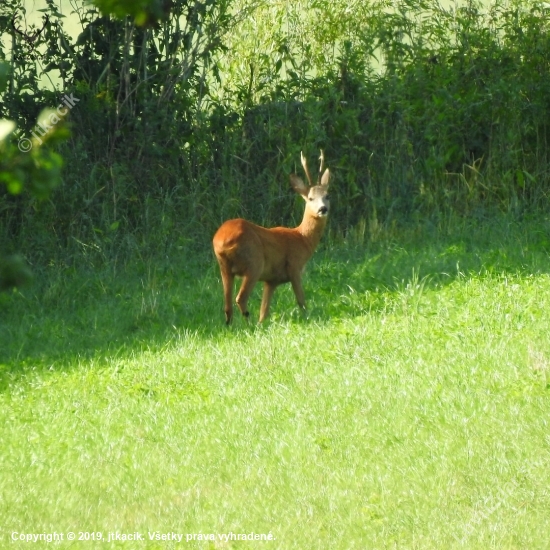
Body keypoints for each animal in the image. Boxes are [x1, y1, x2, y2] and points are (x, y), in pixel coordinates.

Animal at [212, 149, 332, 326]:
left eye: (327, 196)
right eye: (310, 198)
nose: (322, 209)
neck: (302, 238)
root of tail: (221, 241)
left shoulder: (271, 280)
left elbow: (264, 311)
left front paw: (263, 323)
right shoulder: (294, 266)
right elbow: (301, 301)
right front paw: (308, 317)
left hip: (224, 267)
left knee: (227, 306)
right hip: (254, 263)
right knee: (240, 298)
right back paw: (248, 323)